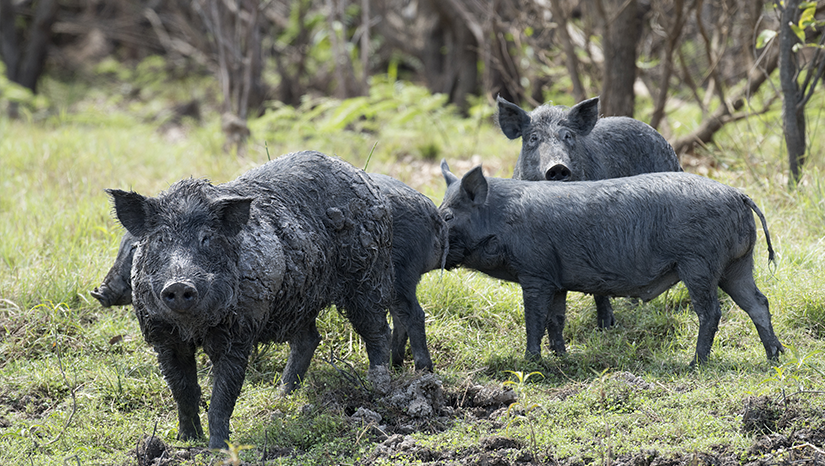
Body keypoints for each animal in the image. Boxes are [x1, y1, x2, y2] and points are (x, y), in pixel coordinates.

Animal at [104, 151, 394, 450]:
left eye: (206, 238)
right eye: (160, 239)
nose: (179, 284)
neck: (193, 328)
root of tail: (361, 176)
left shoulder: (238, 333)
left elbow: (223, 395)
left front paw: (218, 449)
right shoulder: (163, 337)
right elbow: (183, 391)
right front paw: (186, 441)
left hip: (367, 275)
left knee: (377, 329)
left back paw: (380, 387)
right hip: (301, 299)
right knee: (309, 339)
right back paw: (283, 396)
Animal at [438, 162, 780, 366]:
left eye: (448, 216)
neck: (501, 221)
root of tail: (738, 194)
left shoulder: (535, 273)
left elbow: (534, 320)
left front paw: (530, 362)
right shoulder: (556, 280)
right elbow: (556, 320)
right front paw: (563, 357)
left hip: (698, 264)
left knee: (711, 311)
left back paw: (694, 363)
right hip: (737, 265)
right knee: (758, 302)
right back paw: (775, 357)